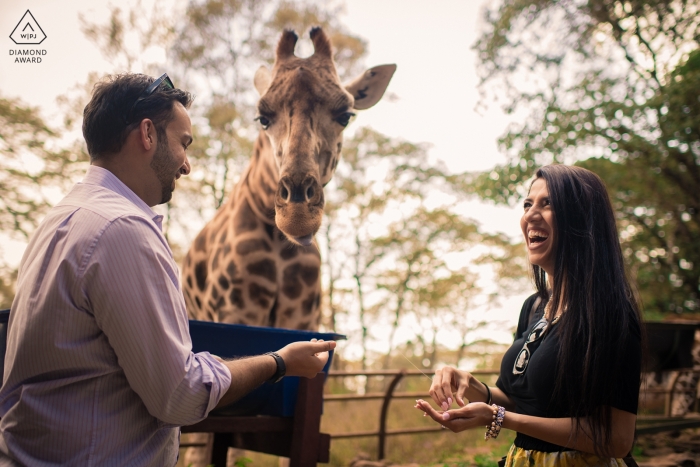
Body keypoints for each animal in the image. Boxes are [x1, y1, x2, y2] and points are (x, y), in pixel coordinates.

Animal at [180, 27, 396, 332]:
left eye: (345, 116)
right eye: (263, 118)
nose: (297, 216)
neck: (280, 243)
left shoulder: (301, 317)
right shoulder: (236, 311)